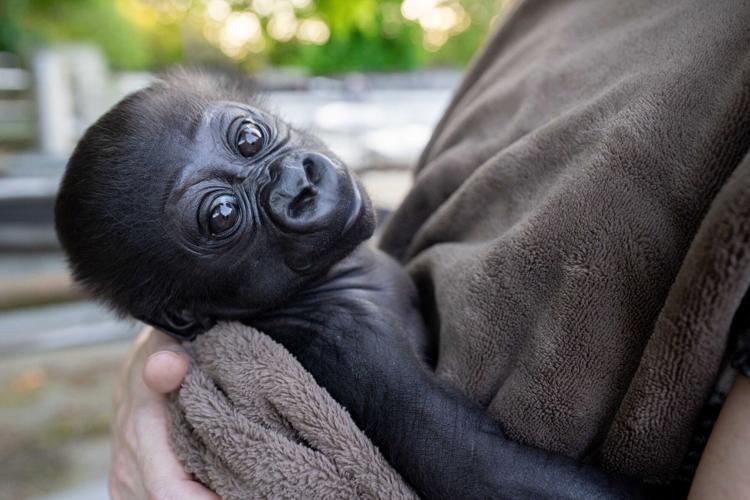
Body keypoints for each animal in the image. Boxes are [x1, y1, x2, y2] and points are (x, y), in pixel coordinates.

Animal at [54, 73, 642, 499]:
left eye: (249, 138)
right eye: (222, 216)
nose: (298, 184)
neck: (328, 282)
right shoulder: (351, 341)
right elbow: (471, 462)